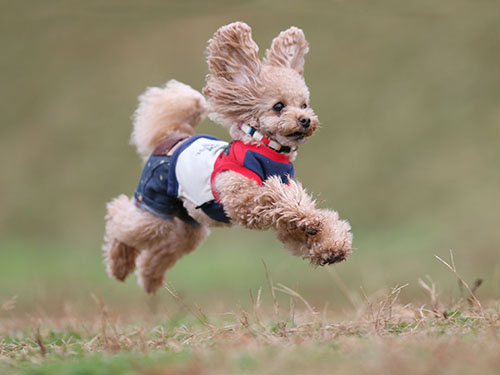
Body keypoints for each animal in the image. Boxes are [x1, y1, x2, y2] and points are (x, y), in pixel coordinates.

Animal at [102, 22, 352, 296]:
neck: (266, 149)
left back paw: (149, 279)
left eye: (304, 105)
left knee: (163, 250)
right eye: (278, 106)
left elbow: (305, 226)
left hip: (188, 223)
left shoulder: (284, 224)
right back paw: (118, 266)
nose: (305, 120)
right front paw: (308, 217)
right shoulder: (241, 199)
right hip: (154, 205)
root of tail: (171, 137)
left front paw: (331, 244)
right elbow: (274, 198)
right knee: (120, 218)